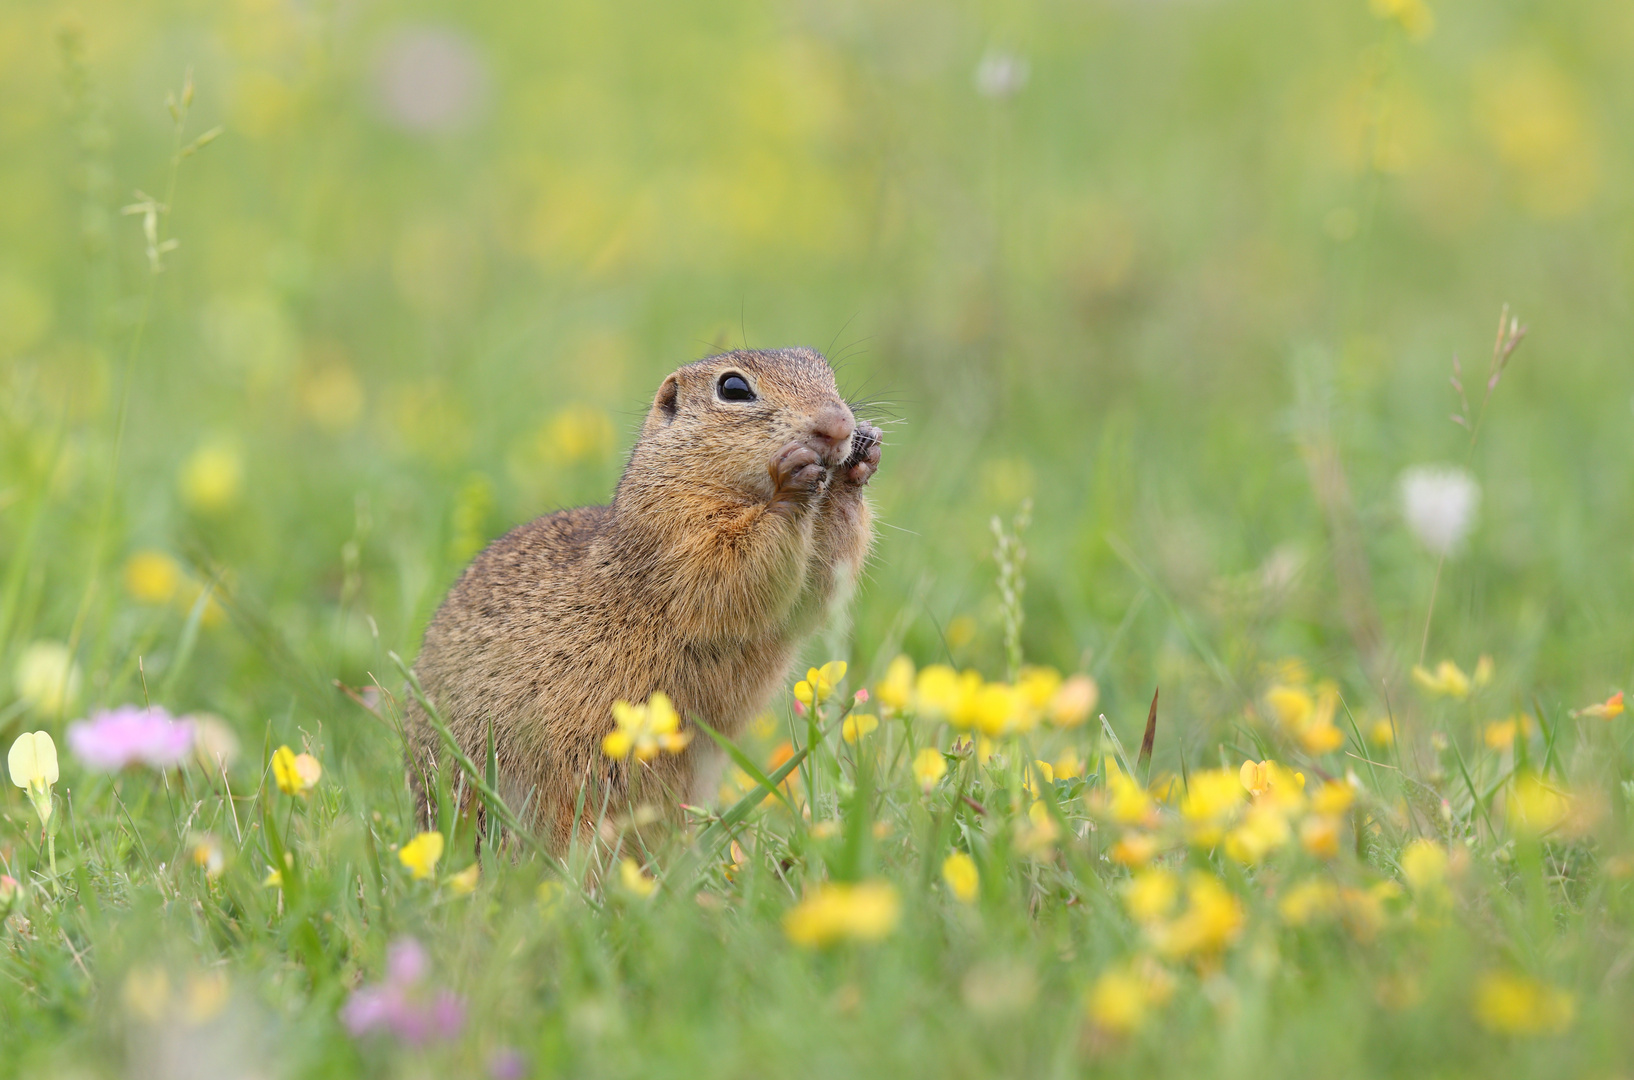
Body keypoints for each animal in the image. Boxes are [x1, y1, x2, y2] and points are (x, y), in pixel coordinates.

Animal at [406, 348, 882, 849]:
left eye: (822, 366)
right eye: (733, 388)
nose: (839, 425)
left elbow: (821, 582)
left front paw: (860, 462)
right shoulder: (677, 535)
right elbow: (734, 569)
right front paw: (794, 481)